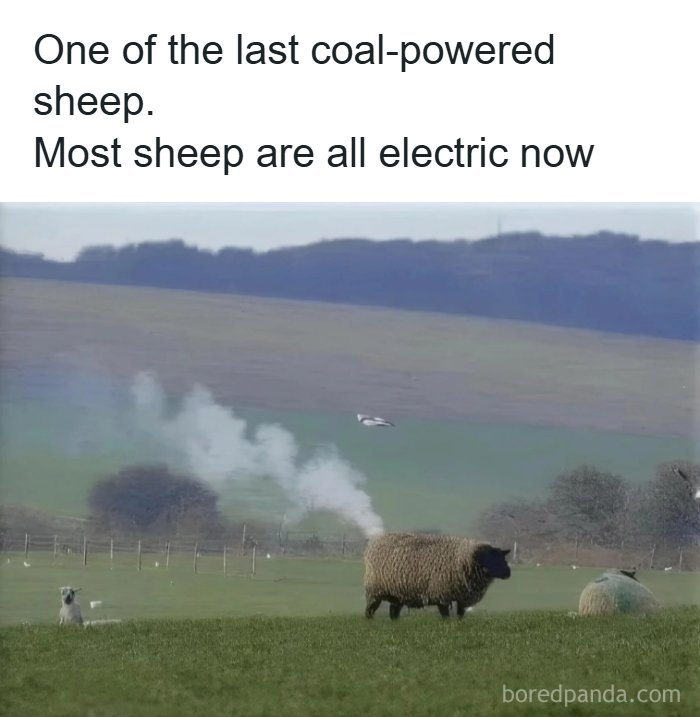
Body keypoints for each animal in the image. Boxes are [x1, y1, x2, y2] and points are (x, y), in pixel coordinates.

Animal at [364, 532, 511, 619]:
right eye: (488, 558)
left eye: (502, 557)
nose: (508, 572)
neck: (463, 559)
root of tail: (374, 543)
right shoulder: (441, 596)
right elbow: (445, 616)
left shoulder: (461, 598)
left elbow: (460, 615)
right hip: (375, 592)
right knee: (370, 610)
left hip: (397, 593)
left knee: (393, 612)